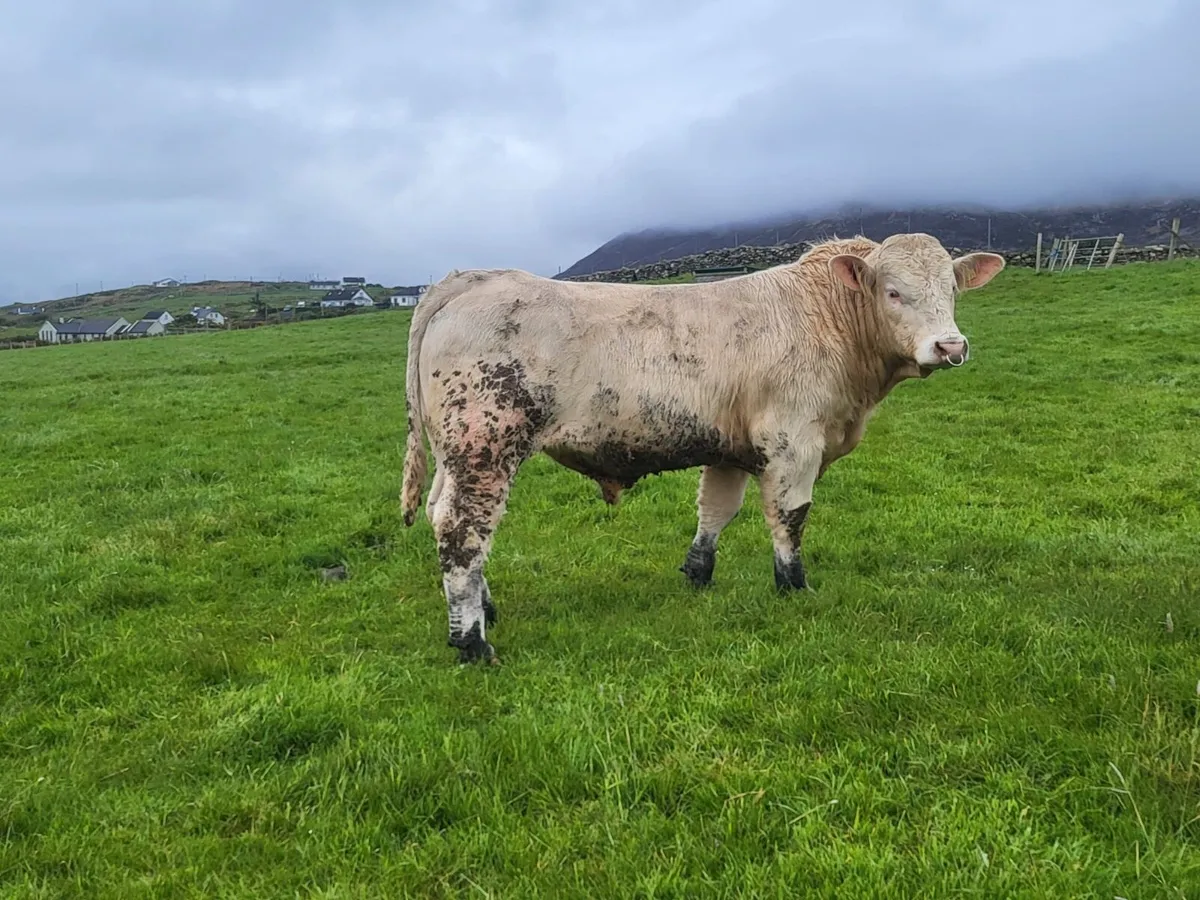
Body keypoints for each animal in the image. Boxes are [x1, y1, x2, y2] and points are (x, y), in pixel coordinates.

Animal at [400, 233, 1005, 664]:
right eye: (893, 291)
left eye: (952, 291)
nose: (950, 346)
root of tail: (473, 278)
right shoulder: (793, 441)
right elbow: (790, 516)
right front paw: (793, 585)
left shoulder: (730, 446)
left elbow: (716, 510)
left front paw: (698, 573)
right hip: (485, 443)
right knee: (463, 528)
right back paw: (472, 641)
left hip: (454, 452)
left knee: (439, 514)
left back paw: (486, 609)